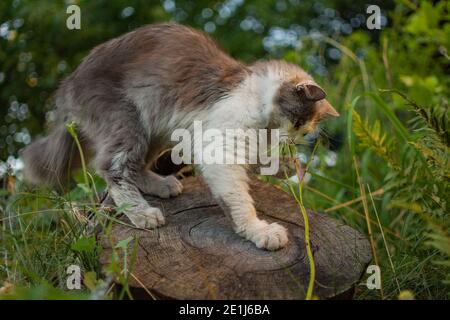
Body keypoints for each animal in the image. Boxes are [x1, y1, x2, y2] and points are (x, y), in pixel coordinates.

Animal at [21, 23, 338, 251]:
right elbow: (238, 200)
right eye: (298, 121)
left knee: (136, 168)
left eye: (305, 130)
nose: (295, 140)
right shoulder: (220, 147)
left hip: (156, 130)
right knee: (113, 170)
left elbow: (262, 162)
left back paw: (162, 185)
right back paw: (143, 214)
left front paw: (288, 167)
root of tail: (68, 83)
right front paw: (259, 231)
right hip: (128, 122)